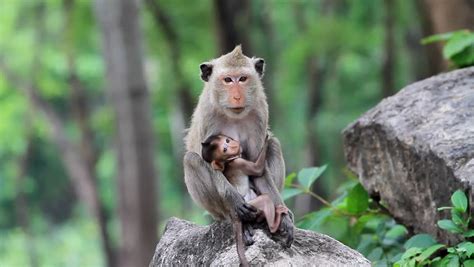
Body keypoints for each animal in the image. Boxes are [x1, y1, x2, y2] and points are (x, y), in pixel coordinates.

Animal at [184, 45, 292, 248]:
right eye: (227, 80)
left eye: (242, 79)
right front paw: (233, 200)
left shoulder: (260, 113)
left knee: (274, 144)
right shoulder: (208, 115)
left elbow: (258, 168)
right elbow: (208, 161)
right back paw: (236, 219)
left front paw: (284, 218)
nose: (237, 96)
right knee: (191, 159)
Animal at [201, 136, 286, 267]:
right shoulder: (238, 163)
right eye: (224, 149)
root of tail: (233, 213)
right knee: (265, 199)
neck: (228, 162)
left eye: (227, 140)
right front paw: (266, 141)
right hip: (250, 206)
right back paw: (273, 224)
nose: (233, 145)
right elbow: (257, 169)